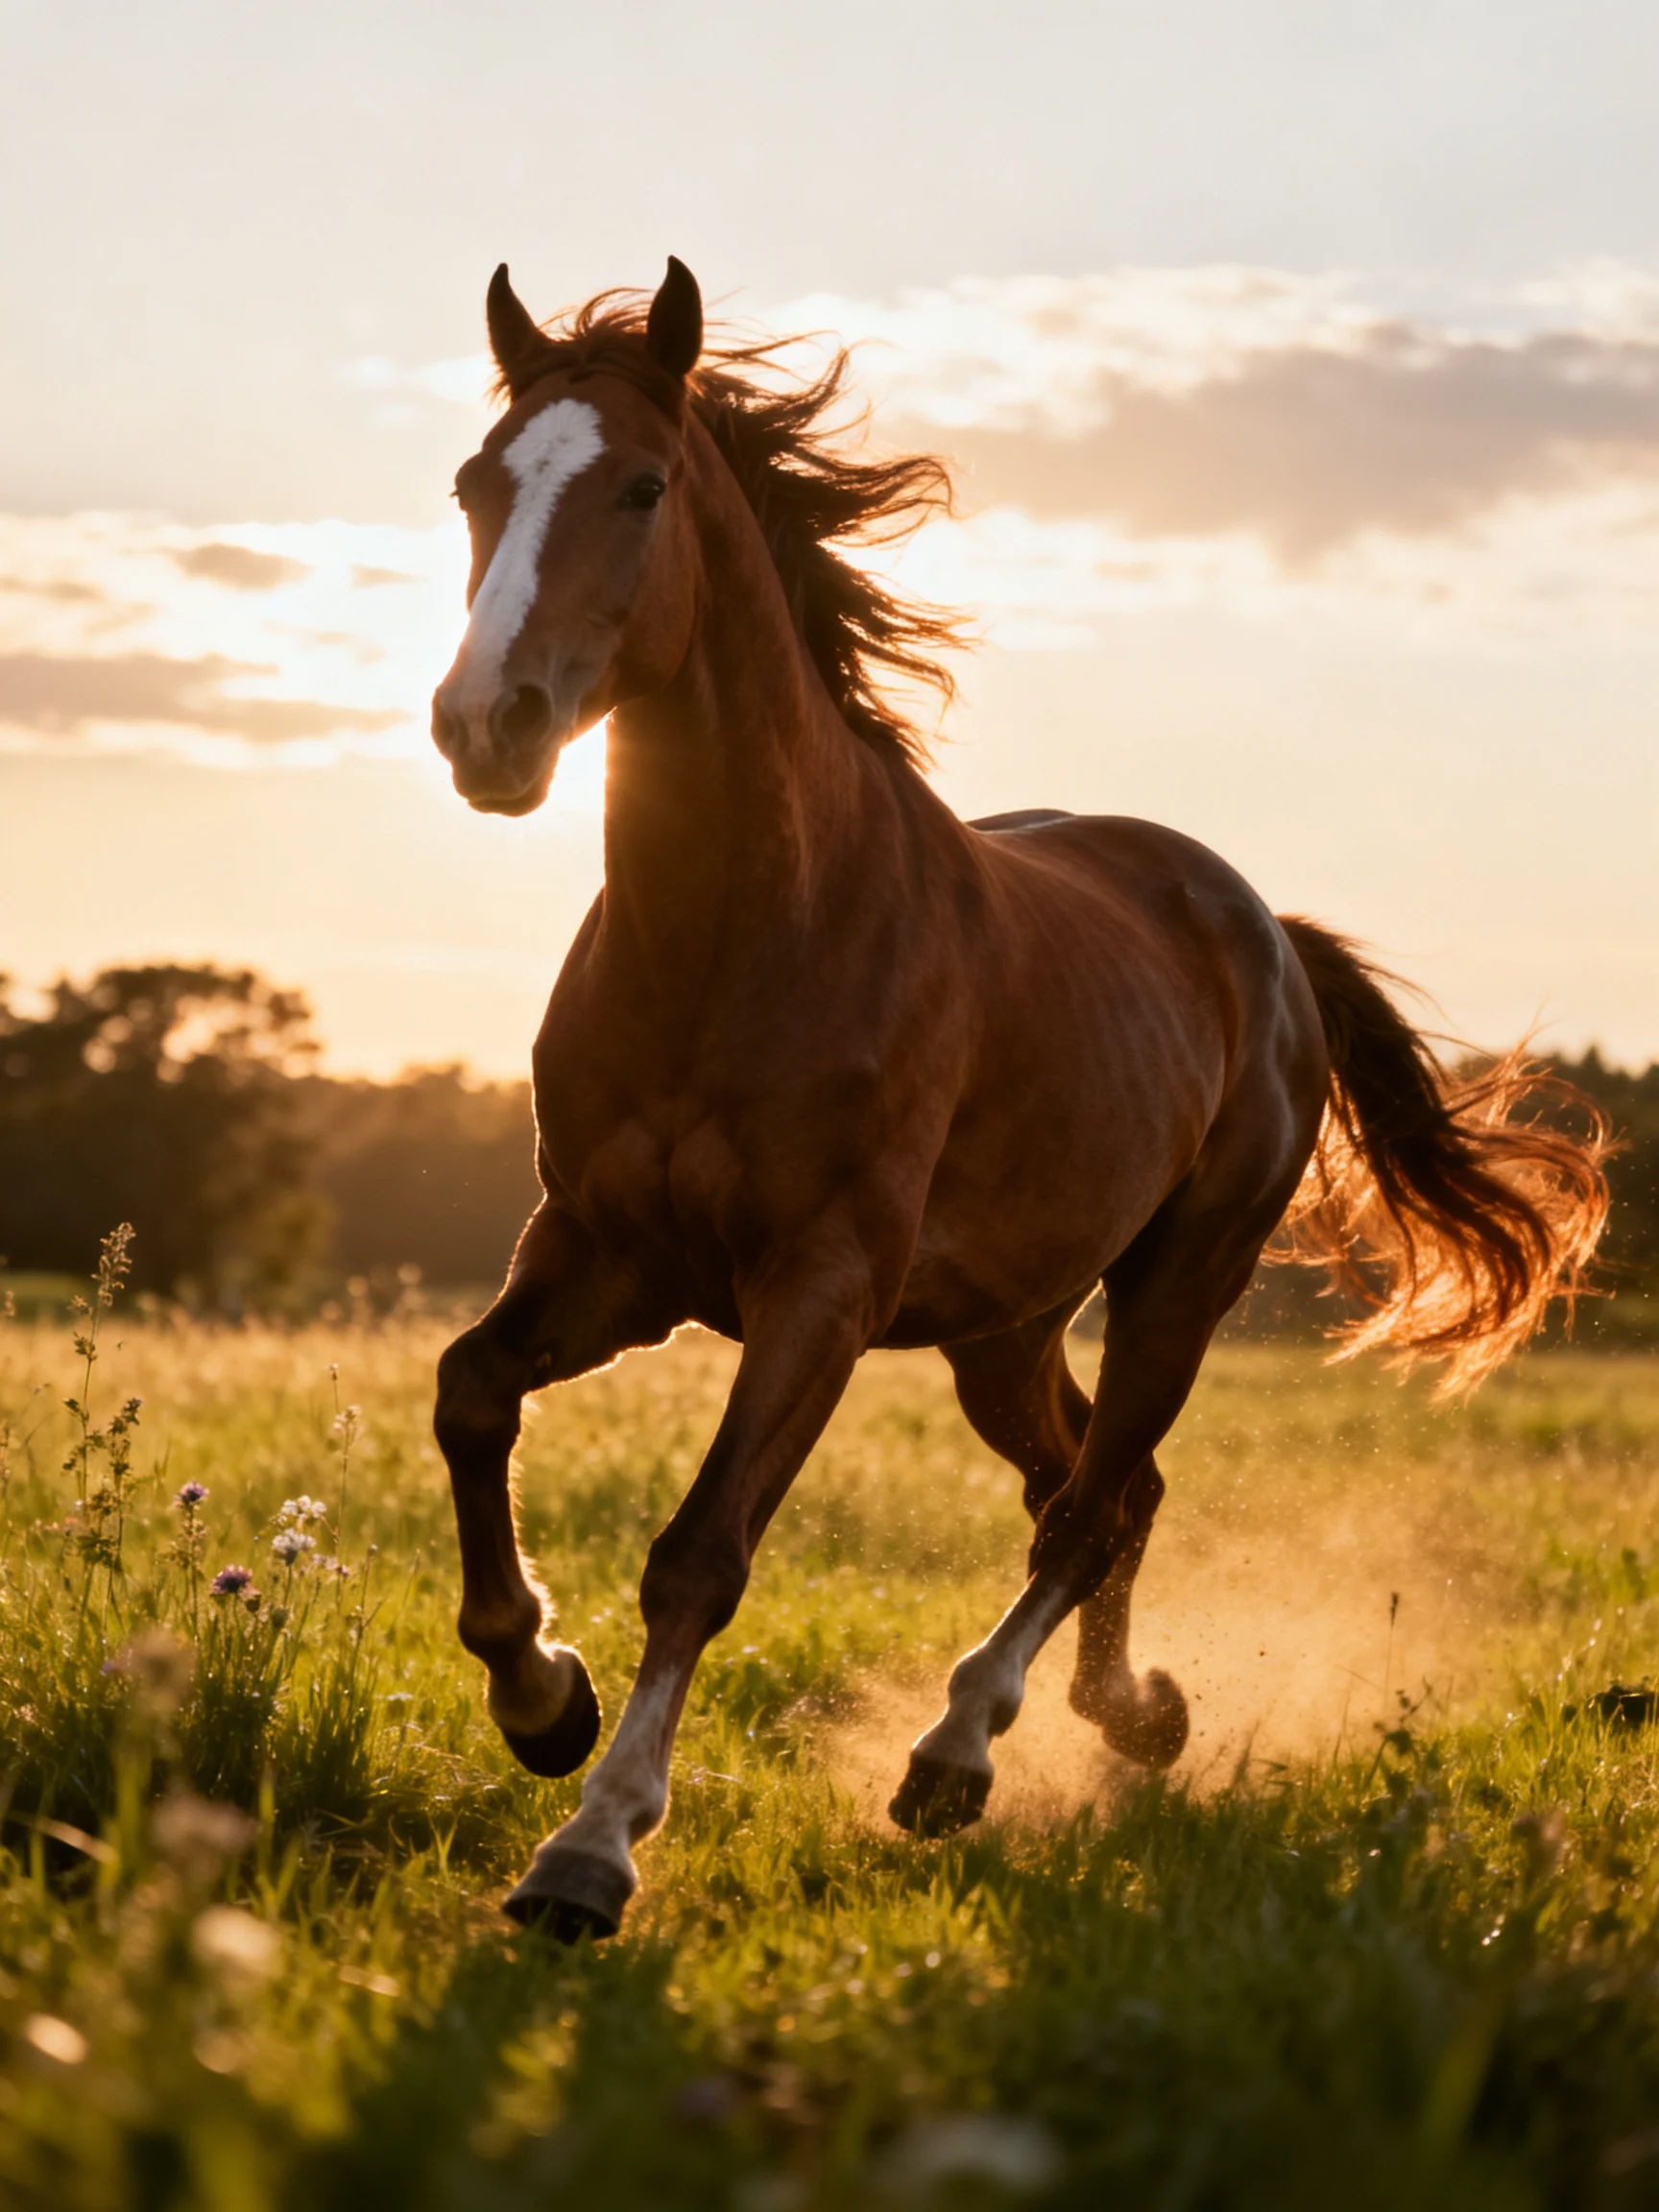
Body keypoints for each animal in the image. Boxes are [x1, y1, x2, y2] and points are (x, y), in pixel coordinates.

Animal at [428, 257, 1609, 1941]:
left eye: (642, 487)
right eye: (479, 485)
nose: (488, 725)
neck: (746, 931)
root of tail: (1260, 927)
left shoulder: (820, 1288)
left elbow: (702, 1552)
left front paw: (591, 1848)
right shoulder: (604, 1254)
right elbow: (470, 1392)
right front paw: (542, 1700)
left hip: (1180, 1284)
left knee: (1090, 1504)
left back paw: (957, 1756)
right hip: (1003, 1331)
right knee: (1106, 1485)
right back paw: (1134, 1718)